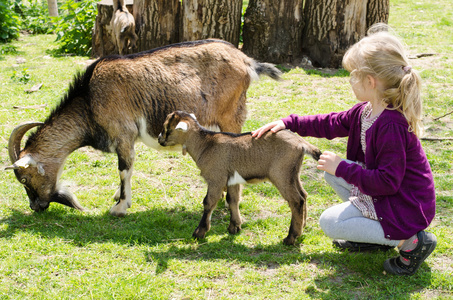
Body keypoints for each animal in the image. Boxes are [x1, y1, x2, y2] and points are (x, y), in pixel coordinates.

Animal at [7, 40, 280, 218]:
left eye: (24, 179)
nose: (36, 207)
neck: (90, 100)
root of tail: (247, 62)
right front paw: (118, 197)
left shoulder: (123, 134)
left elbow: (124, 168)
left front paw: (120, 207)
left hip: (230, 117)